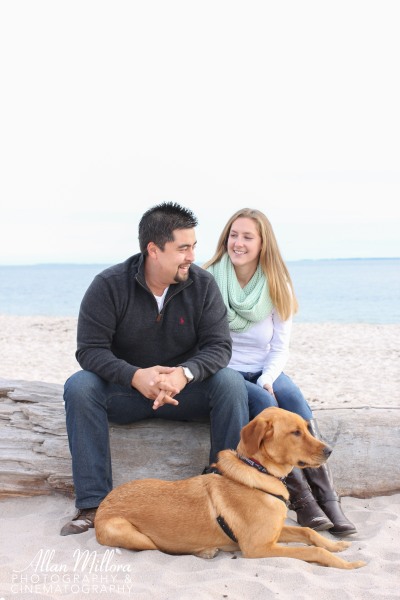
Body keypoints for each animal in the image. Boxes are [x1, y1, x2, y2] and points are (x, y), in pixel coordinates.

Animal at [94, 406, 366, 568]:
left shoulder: (274, 533)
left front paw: (336, 546)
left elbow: (309, 533)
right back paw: (205, 551)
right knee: (161, 548)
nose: (329, 450)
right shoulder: (259, 547)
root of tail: (103, 504)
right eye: (295, 433)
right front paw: (349, 565)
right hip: (132, 534)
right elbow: (314, 552)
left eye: (307, 429)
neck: (259, 471)